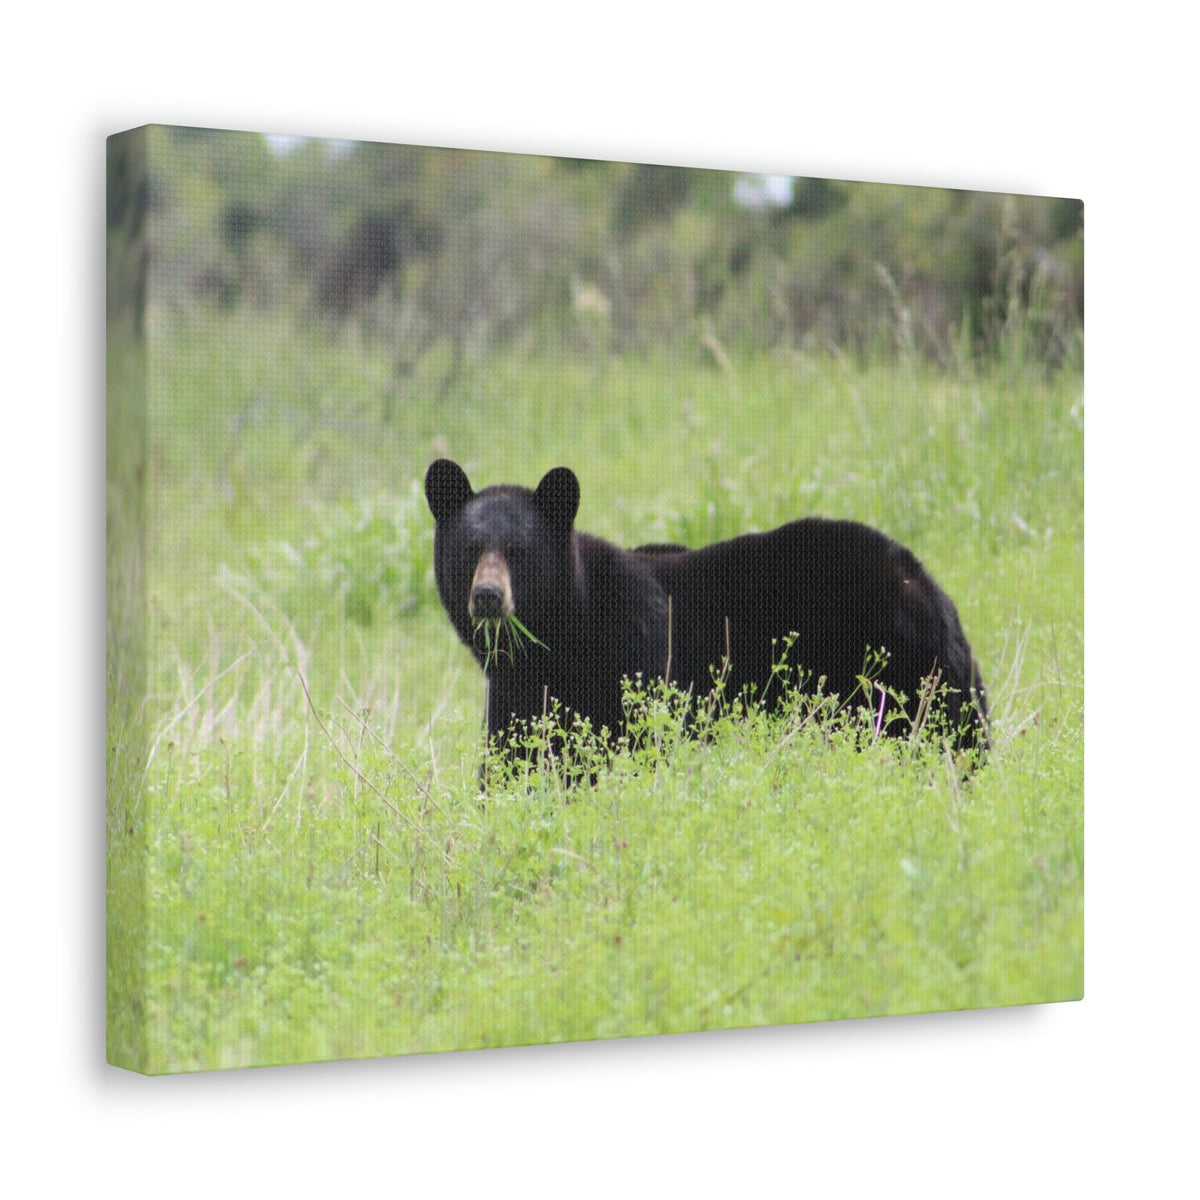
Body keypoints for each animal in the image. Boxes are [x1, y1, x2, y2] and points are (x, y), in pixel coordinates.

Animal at [424, 458, 988, 764]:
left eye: (519, 551)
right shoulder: (517, 688)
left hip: (894, 672)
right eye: (471, 548)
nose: (488, 595)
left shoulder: (636, 655)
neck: (565, 635)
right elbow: (514, 757)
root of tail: (926, 583)